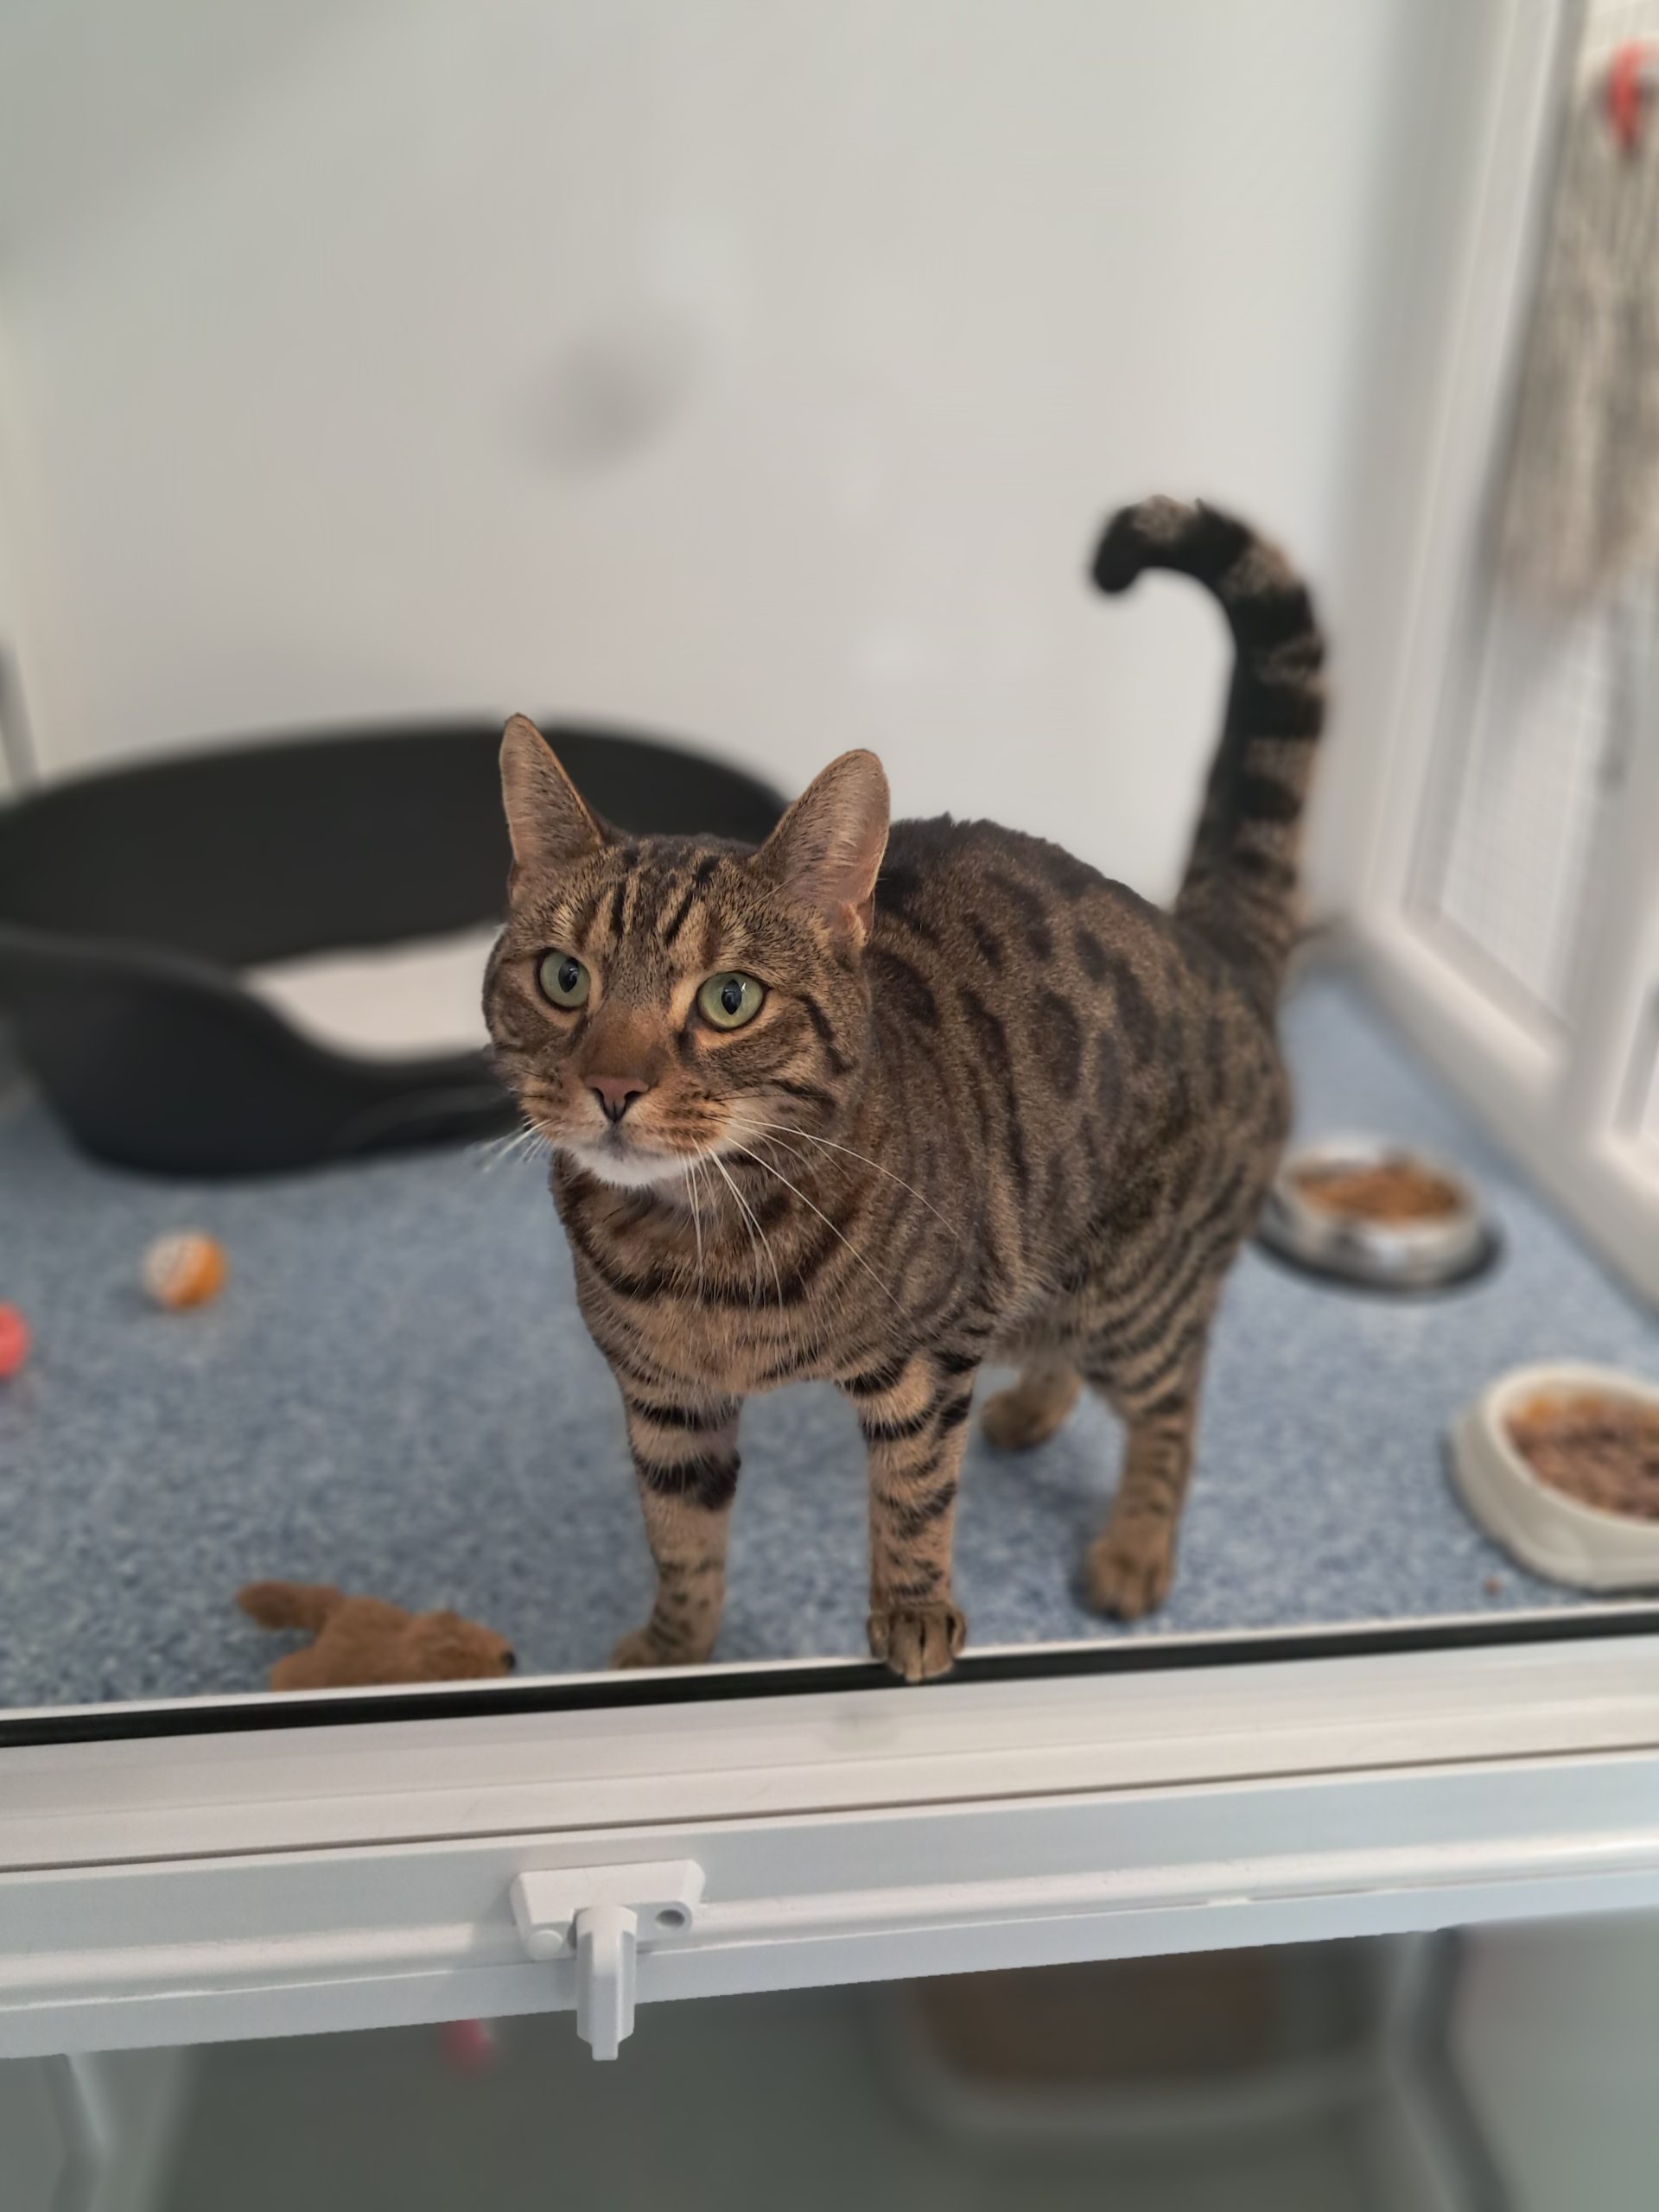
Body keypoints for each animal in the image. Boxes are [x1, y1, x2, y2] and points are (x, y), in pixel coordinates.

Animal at [483, 496, 1324, 1681]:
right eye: (564, 979)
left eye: (730, 999)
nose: (611, 1085)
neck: (701, 1248)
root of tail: (1213, 943)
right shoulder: (664, 1403)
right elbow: (680, 1542)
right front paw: (673, 1650)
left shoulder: (930, 1359)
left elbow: (917, 1499)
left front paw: (915, 1610)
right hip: (1051, 1270)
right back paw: (1034, 1410)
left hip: (1133, 1294)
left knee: (1176, 1404)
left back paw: (1135, 1546)